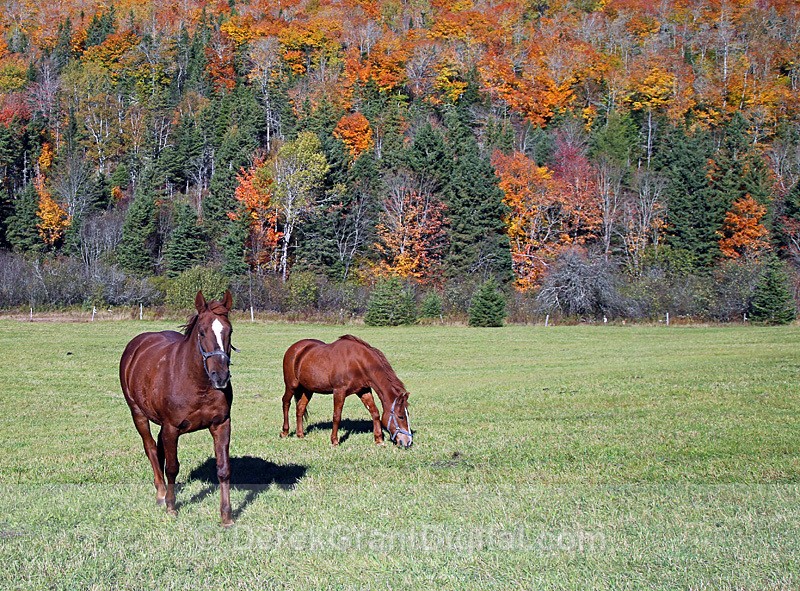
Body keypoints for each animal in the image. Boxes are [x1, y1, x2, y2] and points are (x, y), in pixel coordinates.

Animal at [119, 290, 236, 526]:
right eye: (201, 332)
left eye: (229, 331)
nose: (220, 376)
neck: (197, 383)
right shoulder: (172, 428)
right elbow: (172, 467)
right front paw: (172, 507)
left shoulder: (221, 424)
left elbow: (223, 469)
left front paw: (226, 516)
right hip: (138, 414)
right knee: (151, 449)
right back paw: (161, 494)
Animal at [280, 334, 413, 448]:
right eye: (401, 416)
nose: (408, 442)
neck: (358, 362)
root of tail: (294, 348)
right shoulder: (339, 391)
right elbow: (337, 416)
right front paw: (334, 441)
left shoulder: (363, 391)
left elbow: (375, 412)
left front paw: (379, 440)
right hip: (291, 385)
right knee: (286, 402)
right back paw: (285, 432)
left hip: (308, 390)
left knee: (300, 408)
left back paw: (300, 434)